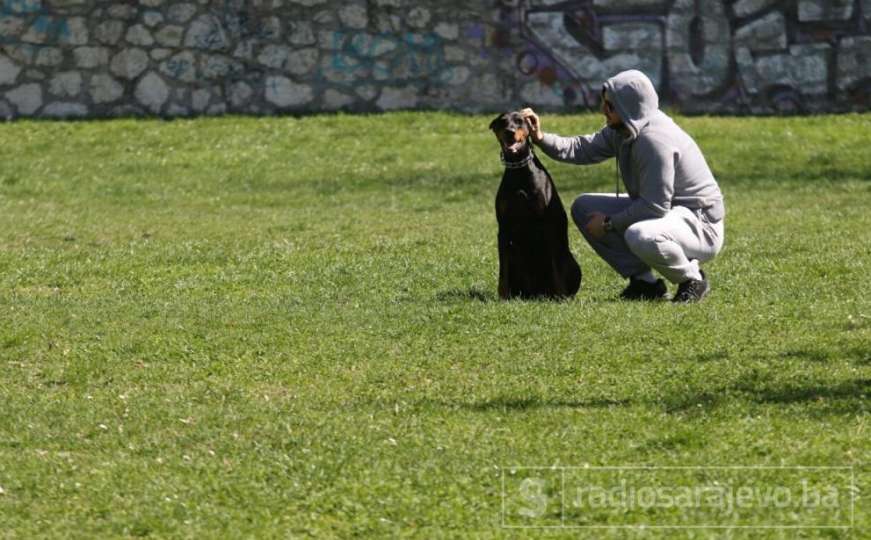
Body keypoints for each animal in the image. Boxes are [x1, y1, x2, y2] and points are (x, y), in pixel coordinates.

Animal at [488, 110, 584, 300]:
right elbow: (503, 271)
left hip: (571, 261)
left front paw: (561, 297)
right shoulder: (503, 228)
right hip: (515, 257)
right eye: (502, 122)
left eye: (519, 121)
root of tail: (537, 293)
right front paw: (503, 297)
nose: (509, 132)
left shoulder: (548, 225)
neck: (518, 169)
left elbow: (556, 268)